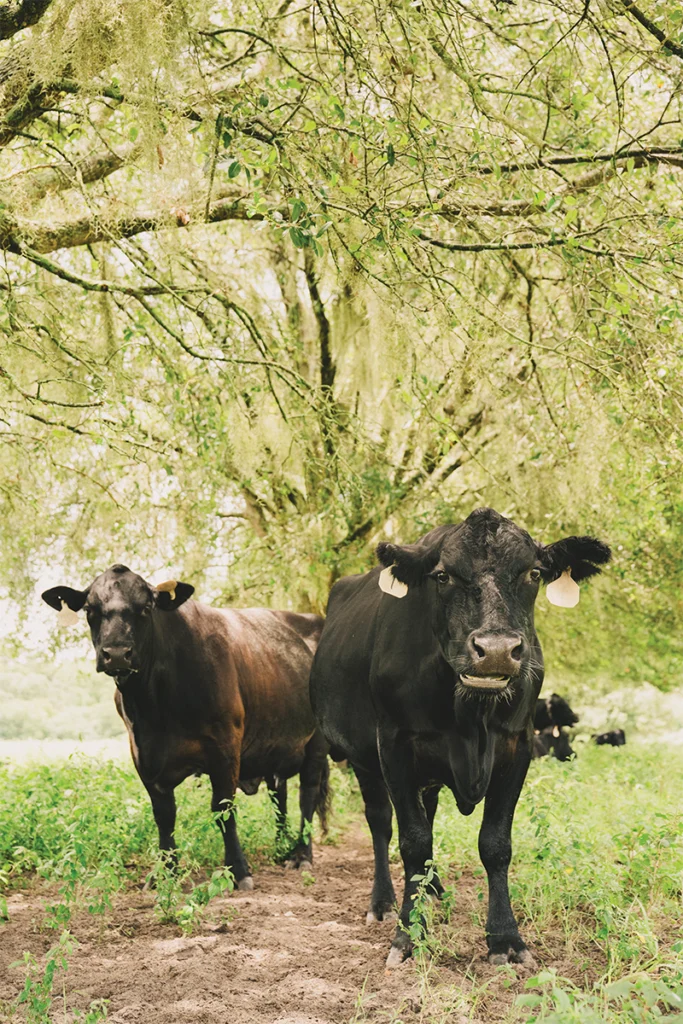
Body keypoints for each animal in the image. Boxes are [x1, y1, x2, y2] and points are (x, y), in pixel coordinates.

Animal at [42, 565, 329, 889]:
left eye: (146, 608)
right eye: (91, 609)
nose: (116, 653)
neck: (155, 709)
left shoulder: (225, 746)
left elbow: (223, 809)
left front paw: (238, 870)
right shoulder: (142, 754)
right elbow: (164, 815)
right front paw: (165, 872)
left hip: (316, 743)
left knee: (307, 795)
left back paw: (301, 855)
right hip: (275, 747)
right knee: (279, 795)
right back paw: (282, 848)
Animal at [309, 508, 610, 967]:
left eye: (534, 573)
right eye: (442, 575)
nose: (497, 650)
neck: (471, 720)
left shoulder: (517, 744)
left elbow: (495, 843)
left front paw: (505, 937)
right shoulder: (393, 745)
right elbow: (412, 842)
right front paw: (408, 935)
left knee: (428, 811)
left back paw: (432, 891)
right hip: (362, 758)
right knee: (381, 823)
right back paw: (384, 902)